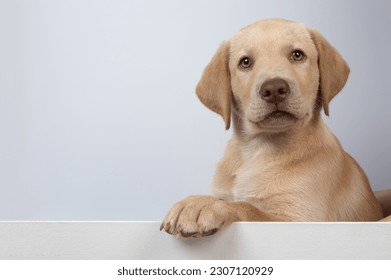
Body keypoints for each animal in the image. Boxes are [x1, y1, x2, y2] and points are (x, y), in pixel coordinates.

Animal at [161, 18, 390, 237]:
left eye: (297, 55)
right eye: (245, 62)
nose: (274, 89)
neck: (258, 149)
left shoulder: (300, 220)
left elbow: (248, 208)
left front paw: (201, 204)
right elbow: (235, 200)